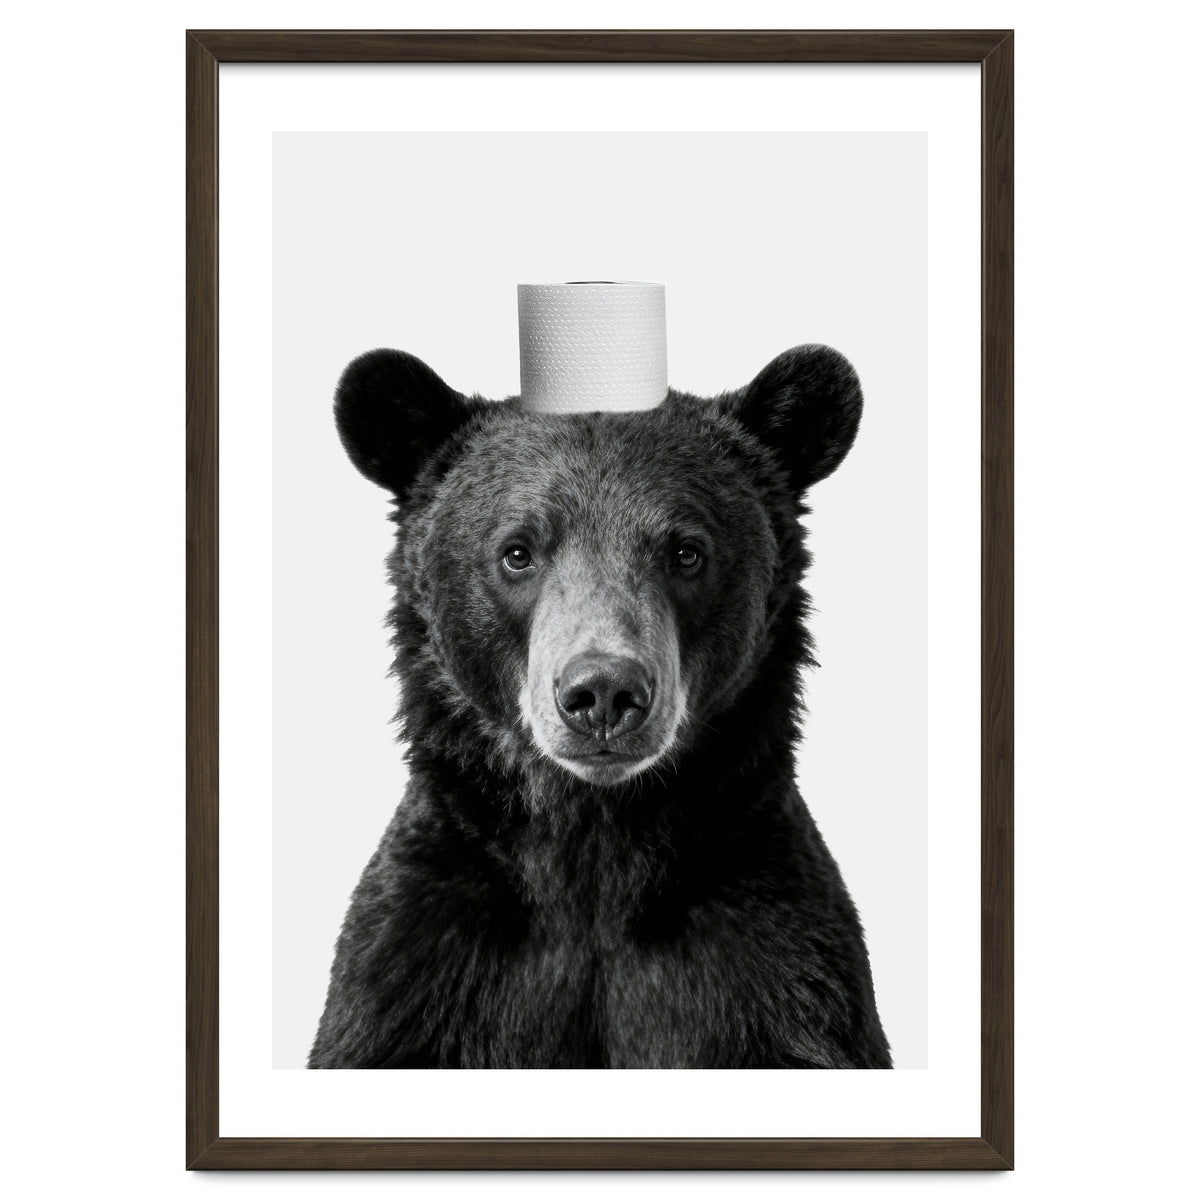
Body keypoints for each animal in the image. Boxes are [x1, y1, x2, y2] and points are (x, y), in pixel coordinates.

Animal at [308, 343, 892, 1069]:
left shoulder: (777, 968)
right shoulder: (419, 967)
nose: (604, 693)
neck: (595, 845)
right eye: (517, 552)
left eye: (686, 551)